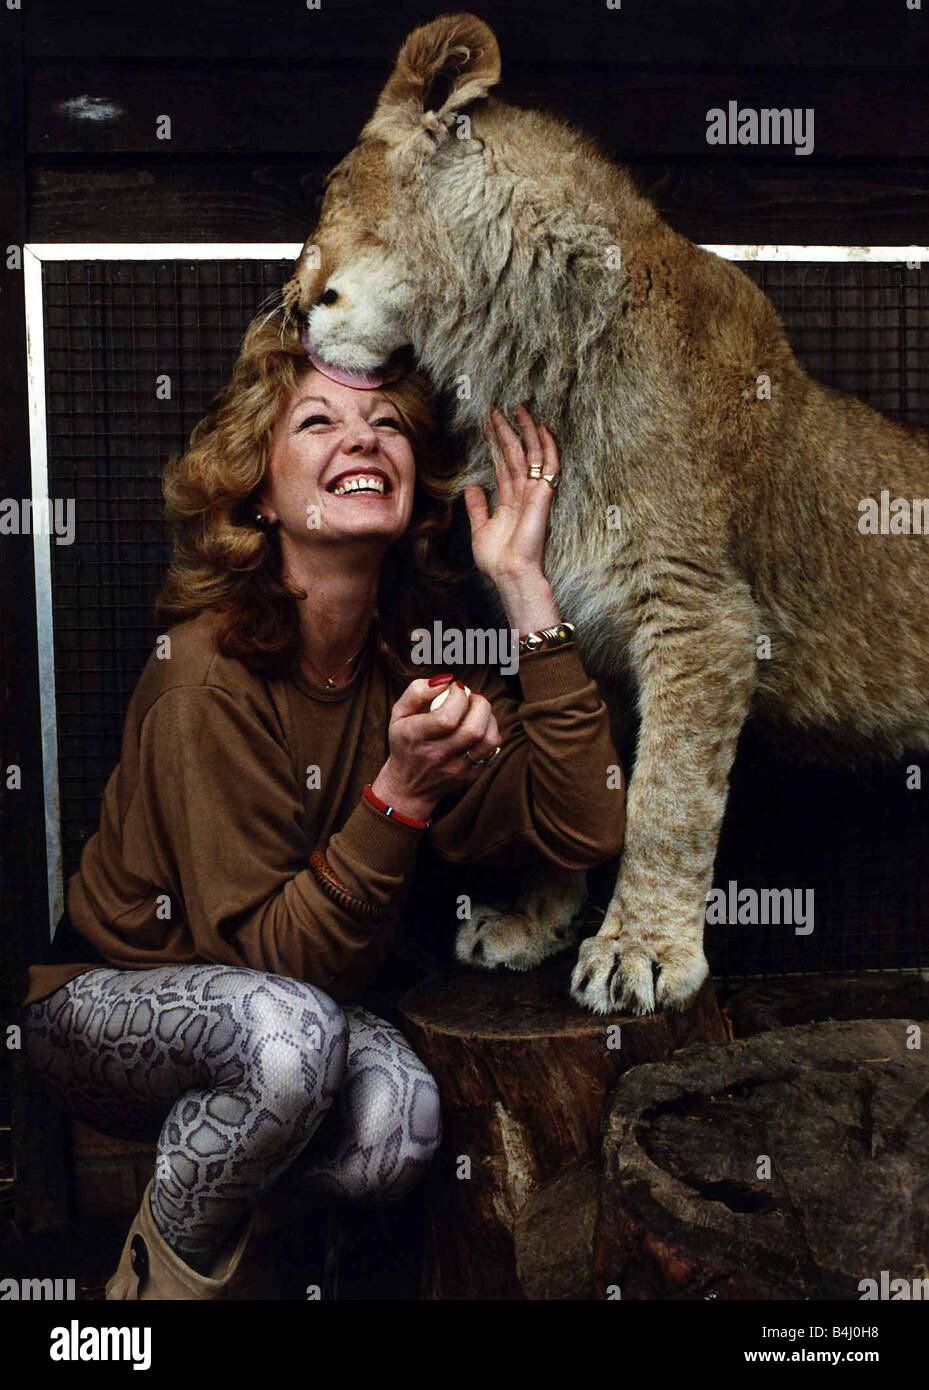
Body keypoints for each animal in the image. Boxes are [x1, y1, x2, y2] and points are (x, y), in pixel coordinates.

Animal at [283, 8, 929, 1011]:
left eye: (328, 188)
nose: (288, 308)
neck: (520, 352)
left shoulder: (701, 615)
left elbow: (666, 798)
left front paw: (641, 951)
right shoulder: (578, 619)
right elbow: (576, 781)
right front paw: (534, 921)